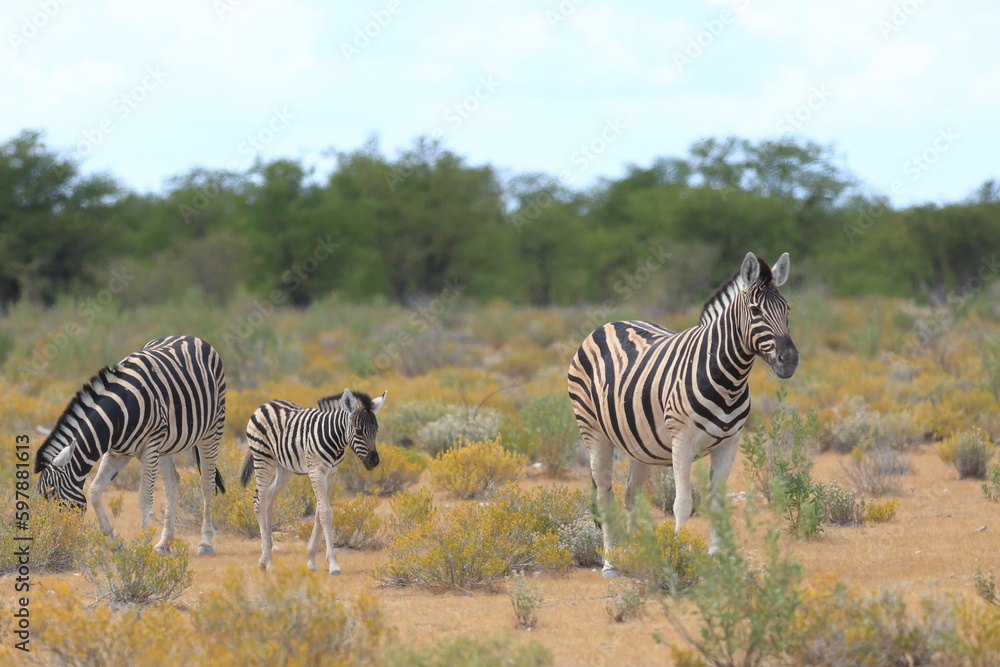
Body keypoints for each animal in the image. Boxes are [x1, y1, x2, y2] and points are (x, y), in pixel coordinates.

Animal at [34, 335, 227, 555]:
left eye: (50, 493)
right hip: (166, 445)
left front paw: (142, 546)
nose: (49, 539)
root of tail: (189, 336)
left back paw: (205, 542)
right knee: (171, 484)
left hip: (212, 429)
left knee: (207, 483)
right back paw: (164, 542)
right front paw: (113, 540)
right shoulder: (118, 452)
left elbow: (144, 499)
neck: (120, 411)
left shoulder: (150, 447)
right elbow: (94, 491)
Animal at [239, 389, 386, 575]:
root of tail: (266, 404)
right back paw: (266, 559)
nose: (374, 461)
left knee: (269, 501)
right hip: (263, 459)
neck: (334, 438)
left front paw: (311, 561)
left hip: (284, 468)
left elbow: (318, 512)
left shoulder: (331, 474)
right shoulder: (316, 471)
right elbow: (326, 513)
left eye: (376, 430)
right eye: (358, 431)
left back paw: (269, 556)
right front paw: (333, 564)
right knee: (259, 501)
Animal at [567, 252, 798, 576]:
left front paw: (717, 559)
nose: (789, 360)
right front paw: (675, 559)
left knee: (631, 494)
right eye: (755, 310)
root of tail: (610, 323)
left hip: (640, 444)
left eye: (786, 308)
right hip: (593, 431)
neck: (729, 379)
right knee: (604, 496)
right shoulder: (682, 442)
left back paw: (635, 553)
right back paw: (611, 563)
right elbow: (682, 504)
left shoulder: (730, 444)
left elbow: (716, 504)